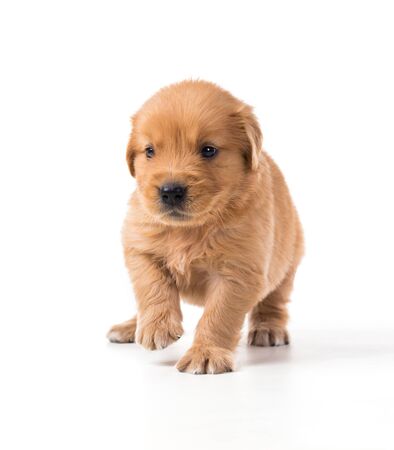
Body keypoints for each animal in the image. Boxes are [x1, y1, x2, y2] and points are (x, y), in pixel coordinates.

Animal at [106, 80, 304, 372]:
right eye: (150, 151)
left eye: (208, 150)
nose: (170, 191)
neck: (191, 228)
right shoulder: (138, 243)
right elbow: (150, 283)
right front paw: (156, 326)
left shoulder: (239, 270)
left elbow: (219, 314)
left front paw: (206, 353)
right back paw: (133, 326)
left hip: (288, 261)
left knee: (274, 299)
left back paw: (269, 328)